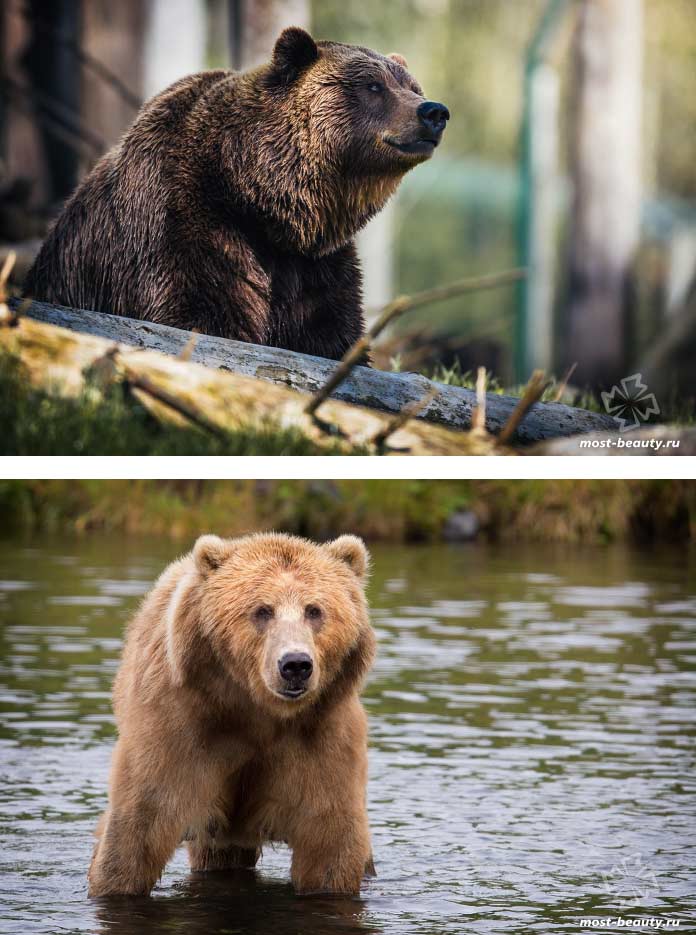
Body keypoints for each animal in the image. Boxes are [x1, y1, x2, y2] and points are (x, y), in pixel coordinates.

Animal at [25, 28, 449, 360]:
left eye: (412, 87)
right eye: (373, 86)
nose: (434, 112)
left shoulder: (314, 266)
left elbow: (330, 333)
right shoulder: (182, 221)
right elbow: (203, 313)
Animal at [87, 531, 377, 898]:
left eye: (314, 610)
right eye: (262, 610)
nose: (295, 664)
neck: (256, 710)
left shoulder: (321, 736)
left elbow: (329, 840)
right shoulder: (179, 727)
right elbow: (139, 825)